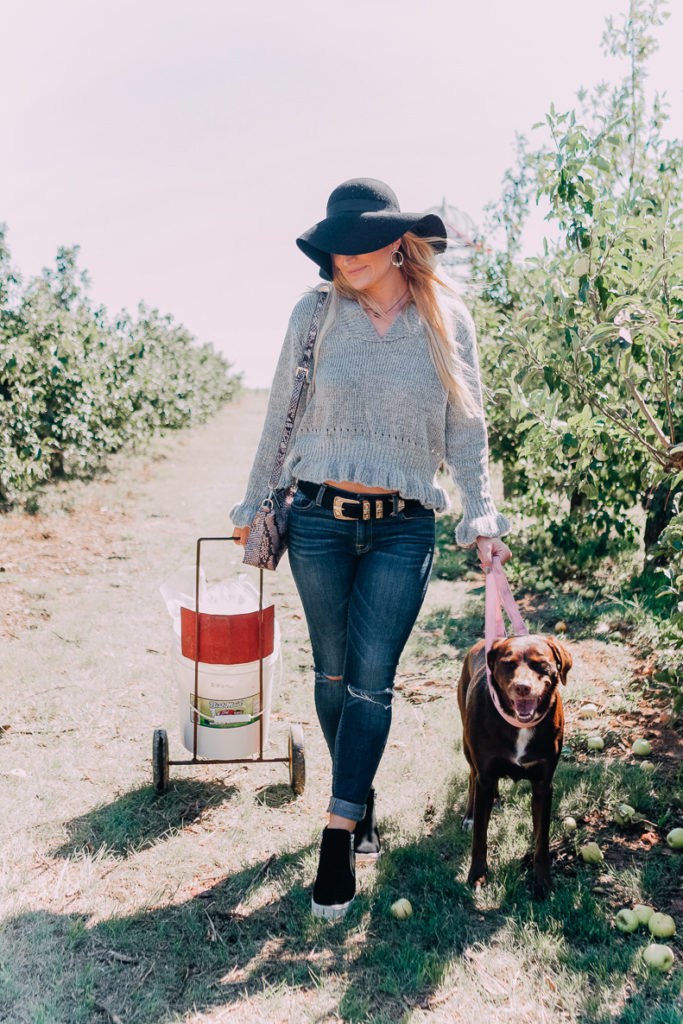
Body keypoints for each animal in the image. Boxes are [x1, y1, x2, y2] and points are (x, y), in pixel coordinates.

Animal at [458, 634, 573, 901]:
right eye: (508, 664)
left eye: (540, 663)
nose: (522, 687)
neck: (520, 726)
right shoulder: (485, 776)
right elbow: (480, 836)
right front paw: (477, 876)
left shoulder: (543, 786)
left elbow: (542, 841)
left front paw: (543, 882)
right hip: (467, 746)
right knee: (471, 777)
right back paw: (470, 815)